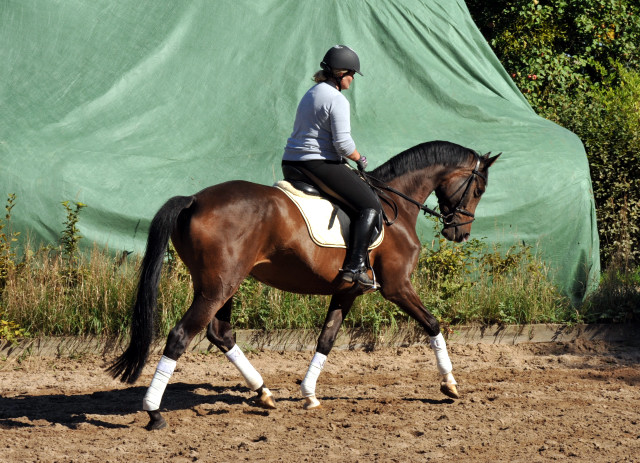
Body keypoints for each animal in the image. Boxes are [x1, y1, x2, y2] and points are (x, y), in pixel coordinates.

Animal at [109, 140, 500, 430]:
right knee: (180, 336)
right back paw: (154, 412)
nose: (460, 233)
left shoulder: (346, 291)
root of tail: (194, 200)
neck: (396, 207)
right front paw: (450, 384)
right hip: (219, 287)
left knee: (220, 333)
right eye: (479, 188)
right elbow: (433, 324)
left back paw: (264, 393)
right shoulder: (397, 287)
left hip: (219, 285)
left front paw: (309, 394)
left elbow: (326, 339)